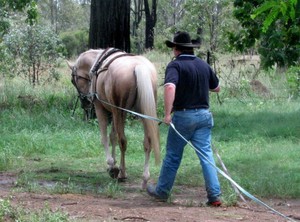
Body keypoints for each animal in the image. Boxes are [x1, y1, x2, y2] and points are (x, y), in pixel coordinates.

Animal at [68, 48, 161, 187]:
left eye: (73, 81)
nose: (85, 103)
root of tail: (138, 66)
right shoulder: (116, 112)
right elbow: (113, 136)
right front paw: (114, 162)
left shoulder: (101, 109)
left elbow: (105, 138)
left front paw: (112, 165)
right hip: (143, 112)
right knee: (147, 142)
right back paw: (145, 177)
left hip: (119, 111)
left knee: (123, 141)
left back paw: (122, 173)